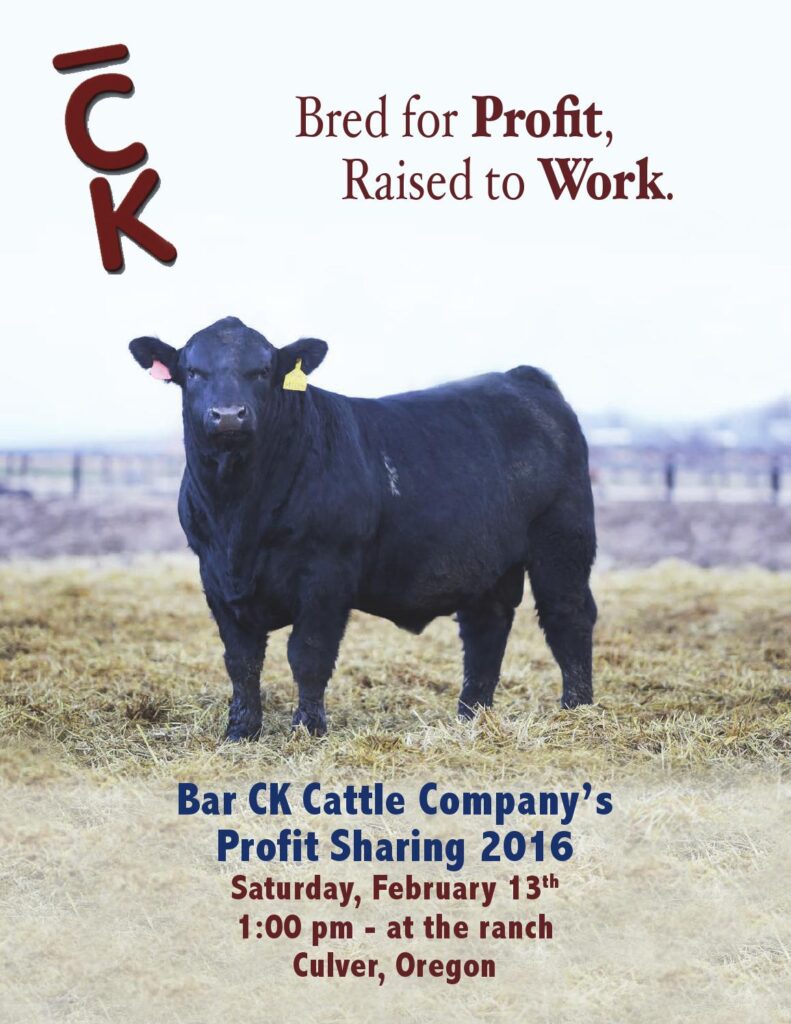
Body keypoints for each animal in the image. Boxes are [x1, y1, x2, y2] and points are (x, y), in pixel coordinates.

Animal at [129, 316, 597, 740]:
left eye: (262, 370)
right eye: (193, 371)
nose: (228, 415)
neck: (239, 517)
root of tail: (520, 378)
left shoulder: (325, 574)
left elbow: (309, 654)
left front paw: (308, 729)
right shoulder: (215, 577)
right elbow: (241, 660)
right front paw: (241, 731)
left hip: (563, 540)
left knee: (568, 614)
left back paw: (577, 711)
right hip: (488, 562)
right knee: (486, 628)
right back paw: (471, 716)